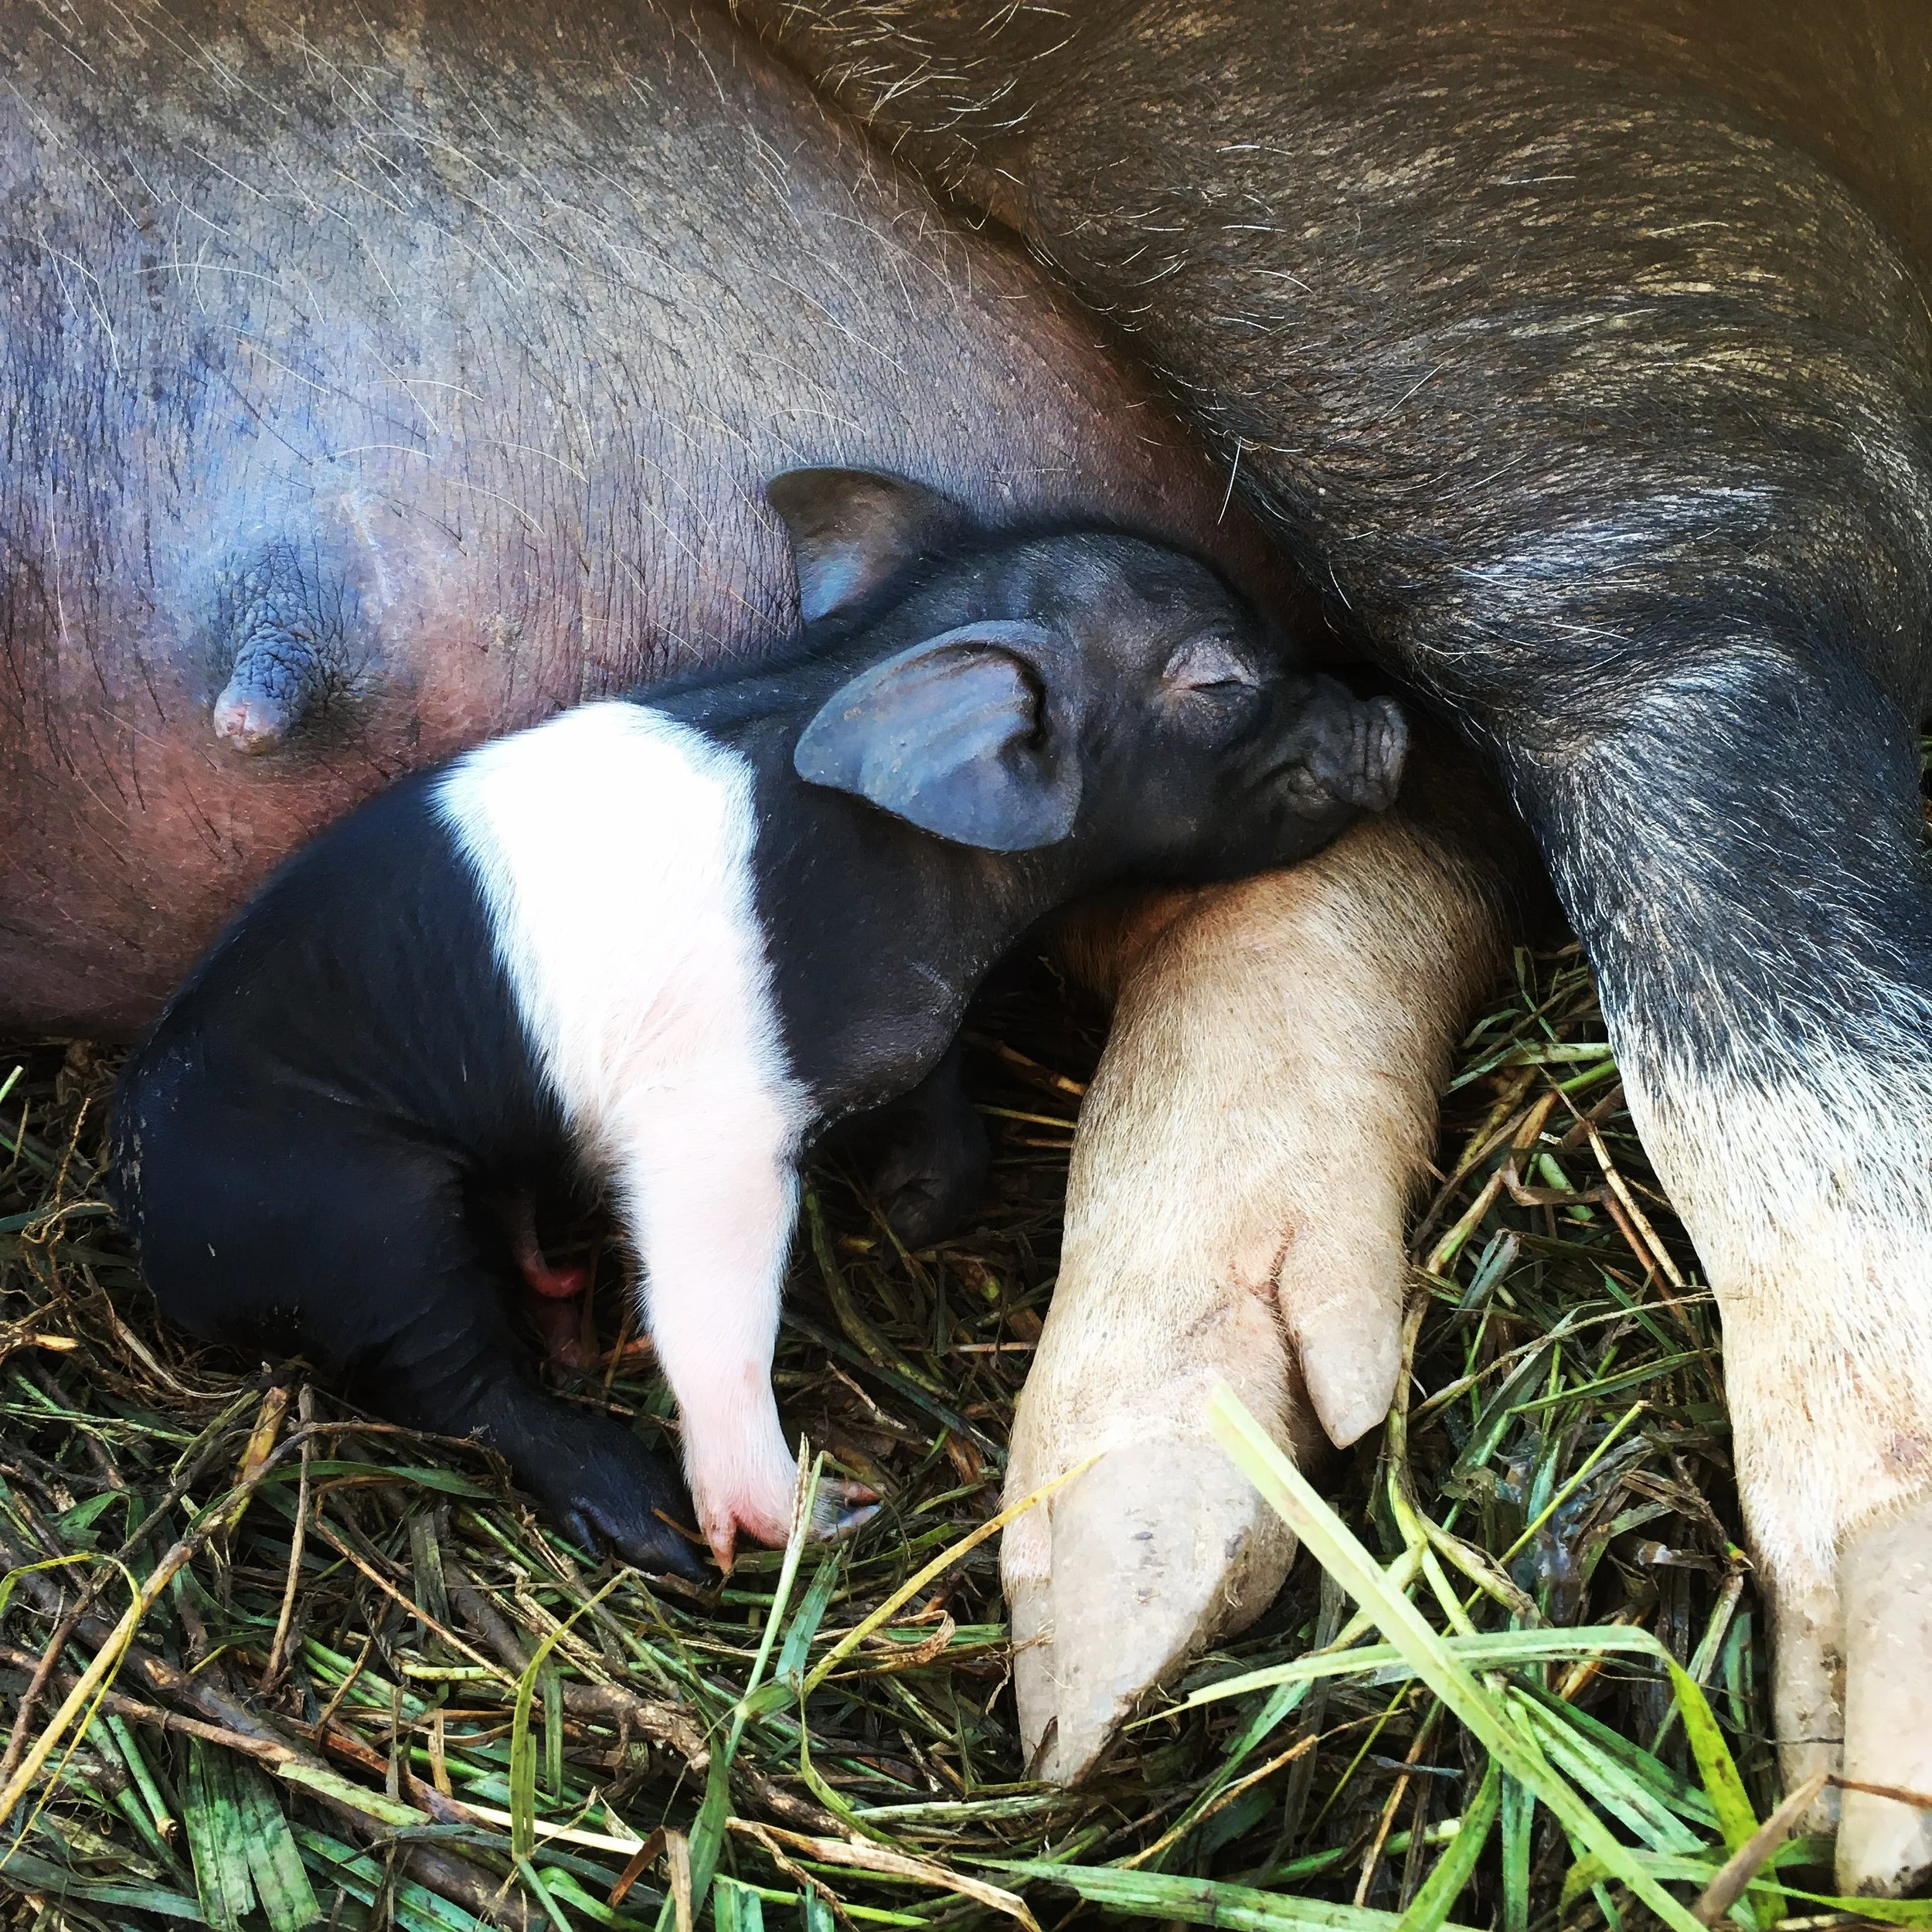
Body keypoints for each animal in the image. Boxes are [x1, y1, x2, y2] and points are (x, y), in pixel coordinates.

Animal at [108, 466, 1405, 1578]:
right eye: (1221, 681)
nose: (1393, 724)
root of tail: (131, 1204)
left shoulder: (904, 1029)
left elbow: (941, 1106)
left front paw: (911, 1213)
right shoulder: (708, 1123)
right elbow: (709, 1298)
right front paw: (806, 1518)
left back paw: (558, 1290)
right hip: (349, 1220)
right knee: (455, 1376)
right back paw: (652, 1523)